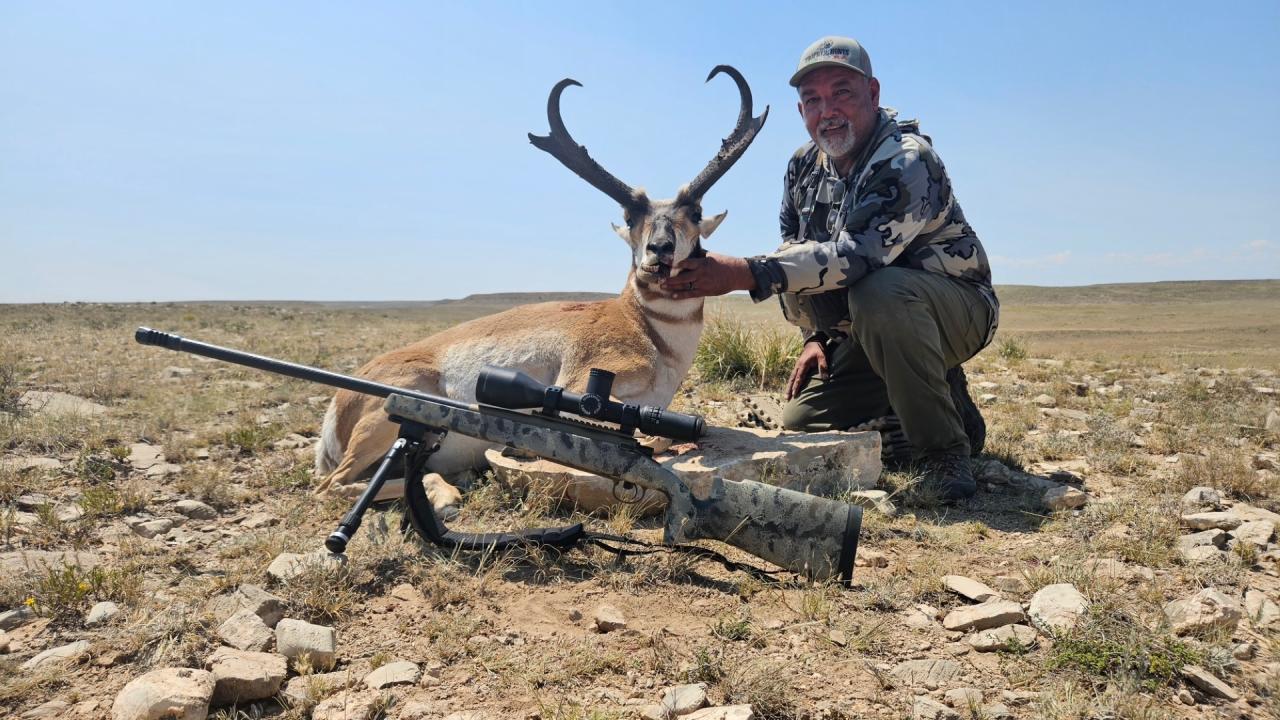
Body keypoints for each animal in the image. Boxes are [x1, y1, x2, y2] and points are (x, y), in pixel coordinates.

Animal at [314, 66, 768, 512]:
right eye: (630, 217)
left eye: (695, 213)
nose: (659, 250)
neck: (646, 330)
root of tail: (341, 402)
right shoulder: (579, 384)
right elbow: (651, 437)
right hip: (390, 419)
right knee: (331, 487)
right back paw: (446, 495)